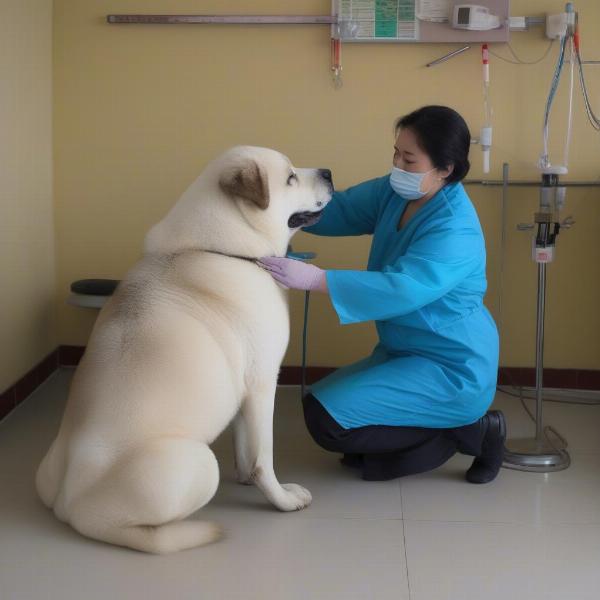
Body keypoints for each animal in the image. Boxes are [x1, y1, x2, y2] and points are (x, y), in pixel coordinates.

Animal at [35, 145, 332, 552]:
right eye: (289, 177)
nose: (329, 172)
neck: (218, 249)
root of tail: (69, 505)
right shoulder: (262, 383)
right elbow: (263, 458)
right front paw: (281, 499)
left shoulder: (242, 387)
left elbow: (245, 444)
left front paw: (244, 478)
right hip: (201, 462)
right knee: (138, 530)